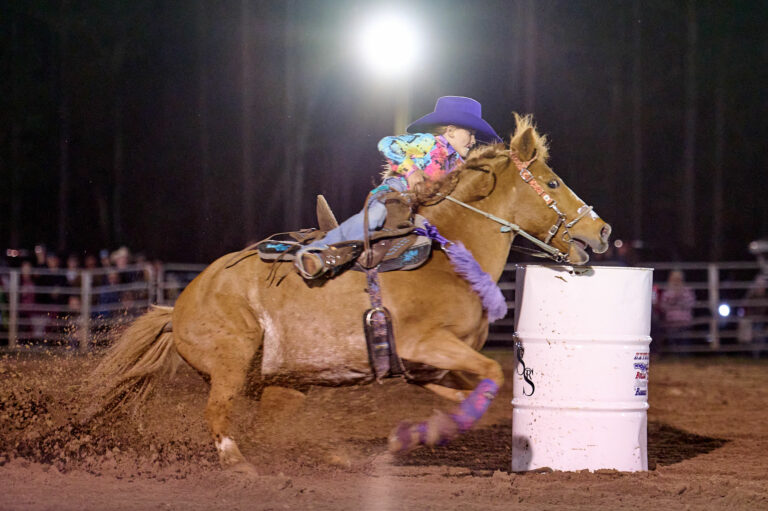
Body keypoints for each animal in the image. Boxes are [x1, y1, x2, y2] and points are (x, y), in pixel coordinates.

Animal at [88, 114, 612, 474]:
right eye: (551, 182)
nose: (603, 231)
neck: (447, 256)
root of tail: (178, 304)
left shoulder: (429, 363)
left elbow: (474, 390)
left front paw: (415, 436)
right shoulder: (426, 344)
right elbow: (492, 375)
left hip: (283, 384)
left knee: (266, 426)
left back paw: (329, 457)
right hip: (232, 360)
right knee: (218, 414)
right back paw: (242, 466)